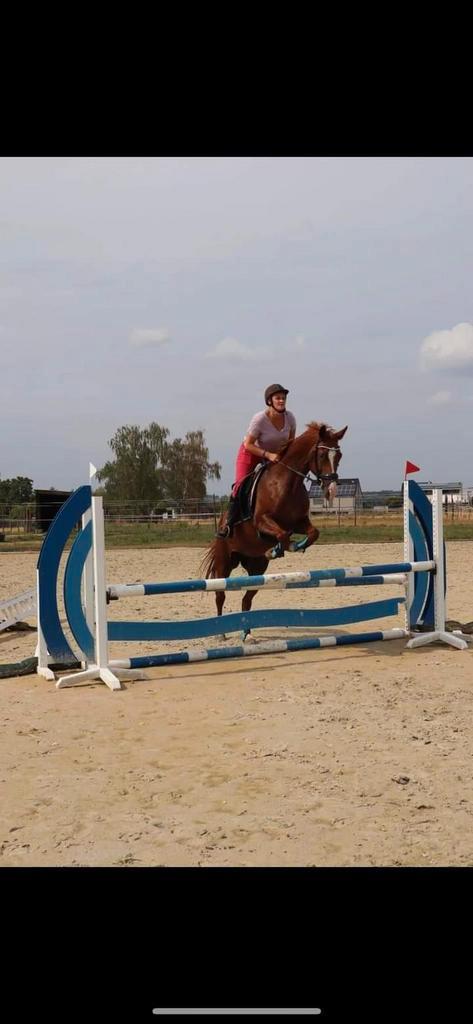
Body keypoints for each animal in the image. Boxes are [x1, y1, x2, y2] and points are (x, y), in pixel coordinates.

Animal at [199, 421, 348, 622]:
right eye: (322, 455)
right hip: (224, 562)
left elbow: (312, 533)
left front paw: (293, 546)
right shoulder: (262, 521)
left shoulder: (298, 522)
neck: (287, 482)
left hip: (257, 566)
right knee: (220, 595)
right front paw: (279, 549)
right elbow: (282, 534)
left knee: (247, 600)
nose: (331, 491)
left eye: (339, 456)